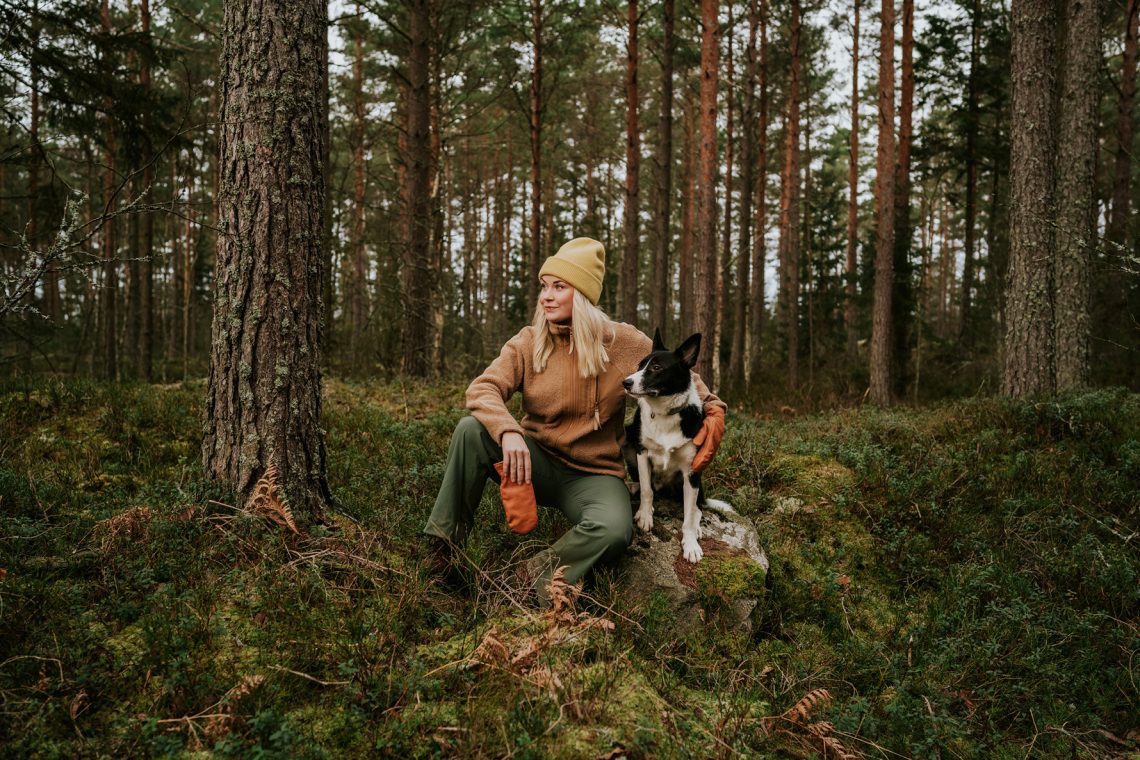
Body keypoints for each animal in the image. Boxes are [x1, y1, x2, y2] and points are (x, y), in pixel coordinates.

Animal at [624, 330, 729, 562]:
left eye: (656, 367)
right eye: (639, 365)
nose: (625, 382)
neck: (664, 414)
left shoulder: (692, 469)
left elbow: (689, 516)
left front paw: (690, 545)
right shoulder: (642, 452)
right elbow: (647, 490)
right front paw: (645, 516)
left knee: (697, 507)